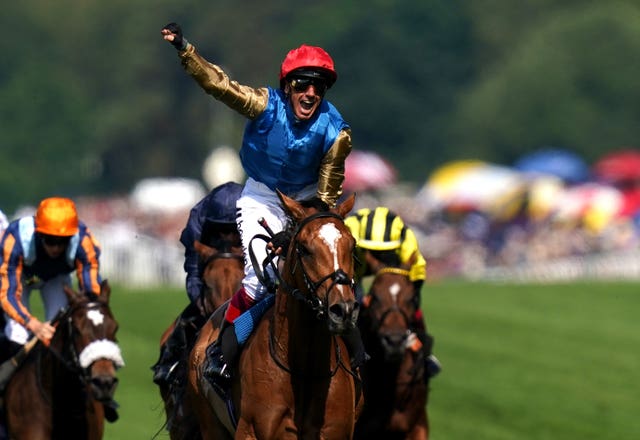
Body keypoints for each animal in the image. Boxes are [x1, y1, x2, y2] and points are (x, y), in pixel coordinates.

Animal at [188, 192, 362, 440]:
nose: (343, 310)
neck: (304, 369)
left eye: (352, 245)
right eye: (304, 248)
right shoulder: (252, 430)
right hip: (210, 424)